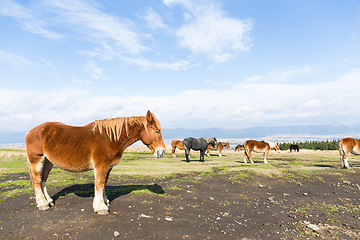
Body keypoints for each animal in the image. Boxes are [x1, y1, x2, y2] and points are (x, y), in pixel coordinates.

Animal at [25, 109, 166, 215]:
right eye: (157, 131)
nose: (162, 151)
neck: (110, 138)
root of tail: (31, 131)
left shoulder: (108, 167)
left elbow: (104, 184)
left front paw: (105, 200)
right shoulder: (101, 166)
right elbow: (99, 184)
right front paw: (101, 207)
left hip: (48, 162)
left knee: (43, 180)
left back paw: (48, 200)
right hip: (37, 160)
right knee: (37, 180)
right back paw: (42, 203)